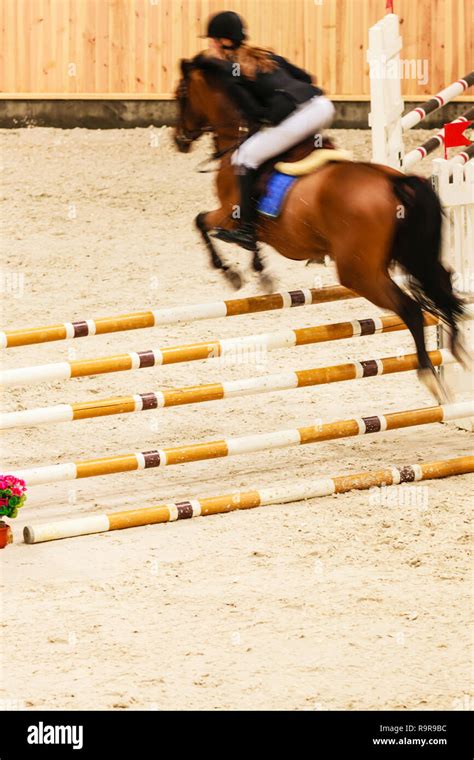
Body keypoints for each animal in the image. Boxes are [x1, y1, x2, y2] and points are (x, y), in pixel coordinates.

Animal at [172, 55, 464, 400]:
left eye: (181, 95)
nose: (178, 140)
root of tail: (394, 181)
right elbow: (242, 241)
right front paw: (259, 270)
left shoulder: (227, 214)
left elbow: (202, 223)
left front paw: (232, 273)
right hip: (408, 254)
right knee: (442, 283)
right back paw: (458, 350)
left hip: (359, 273)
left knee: (411, 309)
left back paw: (429, 372)